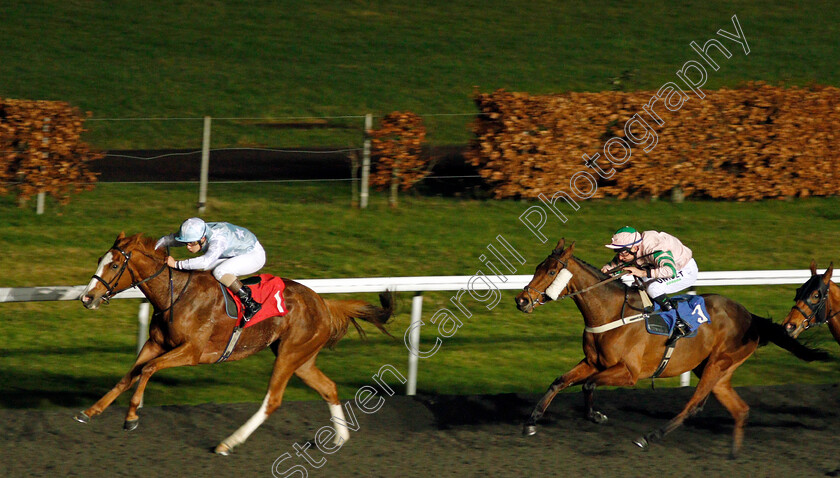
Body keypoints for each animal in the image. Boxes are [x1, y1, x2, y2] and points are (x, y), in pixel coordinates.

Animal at [77, 232, 396, 456]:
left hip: (289, 355)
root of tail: (324, 304)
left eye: (114, 264)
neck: (175, 295)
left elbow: (147, 370)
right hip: (302, 358)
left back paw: (228, 443)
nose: (87, 298)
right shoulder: (155, 343)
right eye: (99, 260)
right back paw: (341, 437)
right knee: (328, 387)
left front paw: (132, 415)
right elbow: (129, 375)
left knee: (272, 400)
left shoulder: (192, 351)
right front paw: (91, 411)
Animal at [512, 239, 828, 460]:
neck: (610, 312)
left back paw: (649, 436)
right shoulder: (593, 362)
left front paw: (596, 416)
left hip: (717, 364)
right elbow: (559, 382)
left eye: (552, 271)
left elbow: (588, 386)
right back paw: (734, 454)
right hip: (715, 370)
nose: (522, 300)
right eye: (537, 268)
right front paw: (531, 422)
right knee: (740, 410)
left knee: (694, 406)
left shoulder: (628, 373)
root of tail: (750, 316)